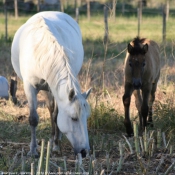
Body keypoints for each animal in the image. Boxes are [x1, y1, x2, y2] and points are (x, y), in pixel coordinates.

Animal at [11, 11, 91, 158]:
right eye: (74, 118)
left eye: (86, 117)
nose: (84, 151)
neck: (41, 54)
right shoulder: (29, 87)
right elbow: (33, 119)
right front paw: (33, 150)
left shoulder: (55, 89)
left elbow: (56, 115)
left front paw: (56, 145)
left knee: (53, 111)